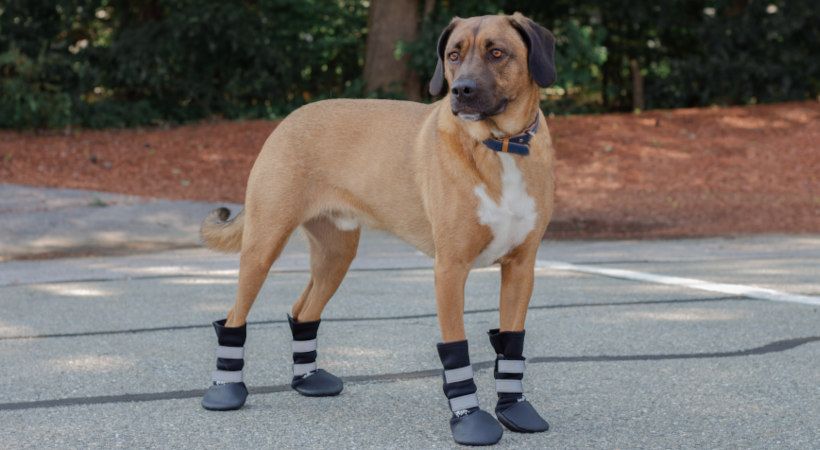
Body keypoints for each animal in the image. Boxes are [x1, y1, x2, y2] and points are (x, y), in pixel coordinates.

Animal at [199, 12, 556, 444]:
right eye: (453, 55)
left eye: (498, 52)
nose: (460, 91)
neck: (500, 145)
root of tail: (290, 118)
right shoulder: (450, 269)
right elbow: (457, 347)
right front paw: (469, 419)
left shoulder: (521, 267)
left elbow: (511, 343)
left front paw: (515, 409)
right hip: (263, 245)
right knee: (234, 315)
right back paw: (226, 391)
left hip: (336, 255)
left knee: (303, 310)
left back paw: (307, 380)